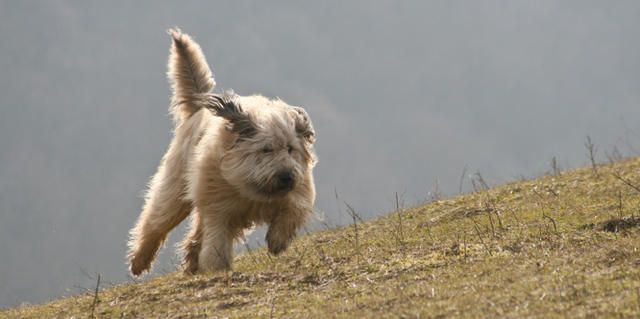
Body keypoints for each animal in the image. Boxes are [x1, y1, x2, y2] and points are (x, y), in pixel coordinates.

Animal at [126, 28, 316, 276]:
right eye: (266, 149)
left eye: (290, 149)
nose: (286, 176)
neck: (254, 187)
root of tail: (198, 107)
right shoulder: (219, 205)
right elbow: (217, 237)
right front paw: (218, 266)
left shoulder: (298, 190)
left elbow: (293, 210)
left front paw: (277, 241)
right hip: (176, 185)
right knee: (156, 220)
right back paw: (139, 261)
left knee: (193, 235)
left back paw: (191, 263)